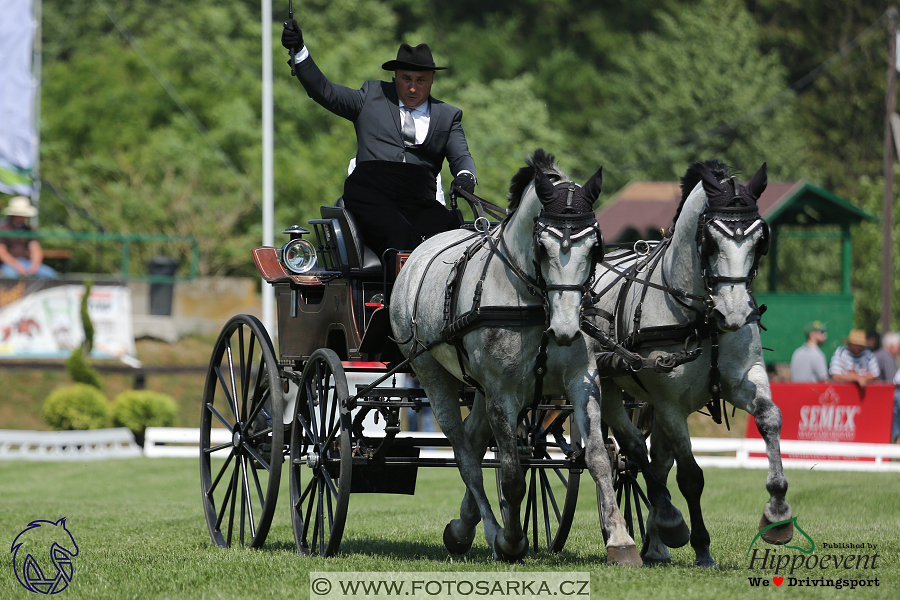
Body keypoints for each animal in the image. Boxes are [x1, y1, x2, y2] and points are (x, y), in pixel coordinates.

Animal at [390, 149, 644, 564]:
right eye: (542, 246)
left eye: (596, 246)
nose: (565, 329)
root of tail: (415, 257)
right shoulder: (502, 395)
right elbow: (511, 475)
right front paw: (511, 541)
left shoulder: (581, 381)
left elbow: (598, 458)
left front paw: (621, 540)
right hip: (431, 374)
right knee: (466, 457)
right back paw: (491, 531)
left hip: (477, 388)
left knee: (474, 442)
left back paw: (462, 528)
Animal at [584, 161, 788, 568]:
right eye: (709, 240)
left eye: (760, 240)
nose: (735, 314)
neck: (702, 316)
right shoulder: (670, 403)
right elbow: (691, 477)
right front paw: (699, 543)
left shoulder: (745, 379)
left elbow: (770, 418)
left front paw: (777, 511)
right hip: (609, 387)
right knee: (633, 451)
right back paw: (664, 522)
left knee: (655, 460)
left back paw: (655, 543)